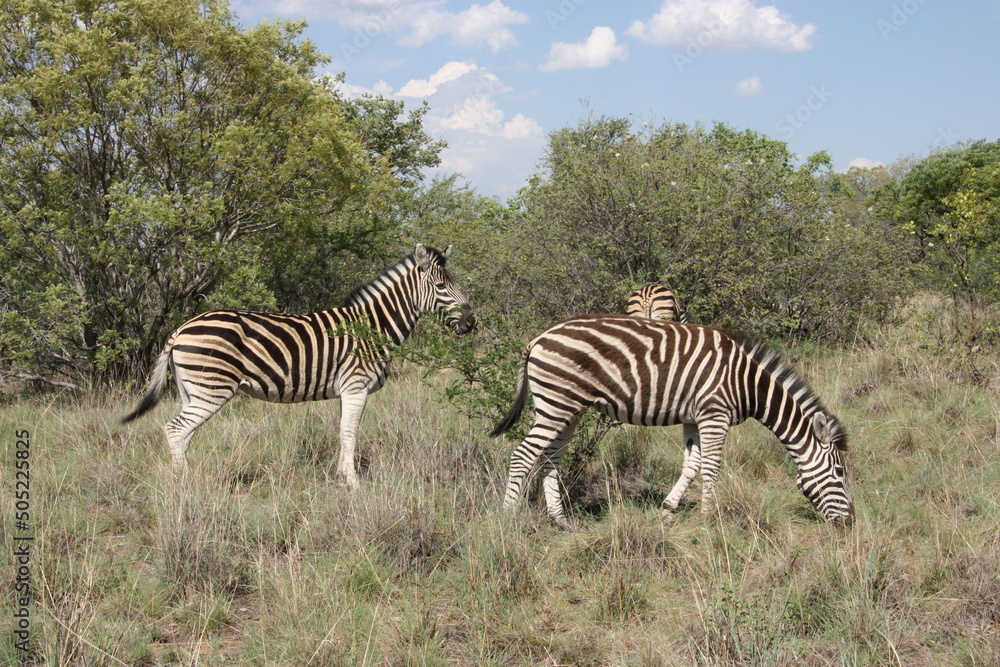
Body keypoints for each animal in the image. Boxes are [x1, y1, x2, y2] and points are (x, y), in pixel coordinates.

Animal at [122, 244, 475, 486]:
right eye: (442, 287)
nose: (471, 323)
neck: (372, 326)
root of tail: (181, 328)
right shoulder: (355, 386)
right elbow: (350, 432)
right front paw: (353, 483)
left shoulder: (348, 390)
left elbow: (343, 432)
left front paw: (342, 476)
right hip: (212, 389)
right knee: (175, 430)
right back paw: (184, 485)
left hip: (192, 390)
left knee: (183, 434)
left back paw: (181, 479)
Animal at [491, 315, 853, 529]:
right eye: (839, 472)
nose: (849, 523)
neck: (747, 383)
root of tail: (537, 339)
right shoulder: (714, 413)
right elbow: (711, 467)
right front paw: (708, 519)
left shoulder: (693, 419)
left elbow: (691, 466)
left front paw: (667, 510)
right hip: (557, 403)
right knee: (523, 455)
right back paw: (507, 519)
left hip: (567, 408)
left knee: (550, 457)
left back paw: (561, 521)